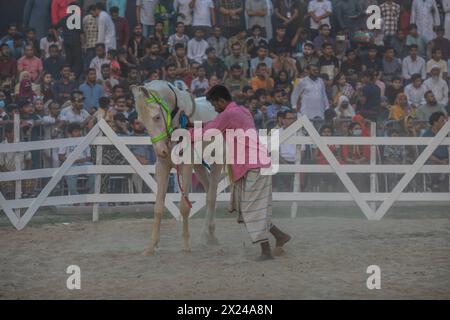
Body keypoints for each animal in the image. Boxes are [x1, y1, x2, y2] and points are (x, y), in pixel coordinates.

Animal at [132, 80, 223, 255]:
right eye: (140, 121)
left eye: (157, 117)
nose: (160, 151)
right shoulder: (162, 167)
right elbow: (158, 207)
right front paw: (151, 246)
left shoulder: (185, 166)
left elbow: (184, 207)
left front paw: (185, 245)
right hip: (199, 166)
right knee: (208, 189)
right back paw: (210, 235)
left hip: (217, 162)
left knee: (211, 196)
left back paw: (206, 235)